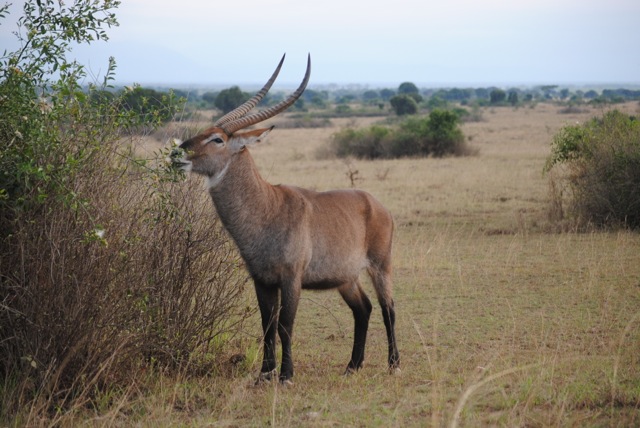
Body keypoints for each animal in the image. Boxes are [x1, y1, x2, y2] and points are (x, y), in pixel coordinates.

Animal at [172, 54, 398, 384]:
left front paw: (286, 375)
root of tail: (377, 204)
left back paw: (394, 363)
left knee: (387, 308)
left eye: (217, 139)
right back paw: (352, 366)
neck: (267, 207)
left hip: (380, 266)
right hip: (346, 278)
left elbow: (285, 325)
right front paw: (265, 374)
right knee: (363, 309)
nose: (178, 153)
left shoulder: (291, 279)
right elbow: (267, 325)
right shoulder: (262, 280)